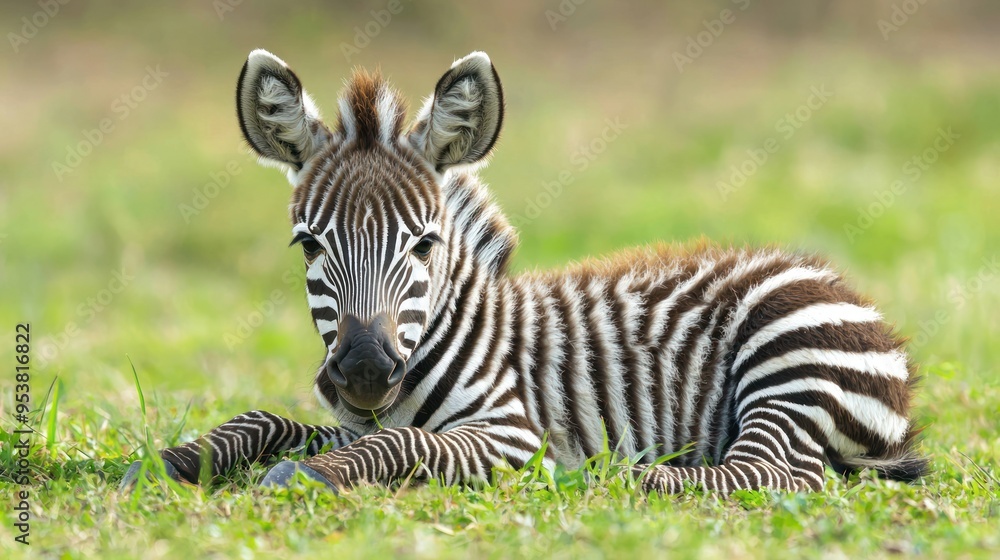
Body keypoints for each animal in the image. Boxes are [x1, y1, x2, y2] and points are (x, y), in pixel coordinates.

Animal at [122, 49, 926, 494]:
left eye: (424, 245)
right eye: (308, 245)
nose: (363, 373)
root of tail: (837, 282)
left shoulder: (514, 433)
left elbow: (403, 444)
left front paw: (307, 477)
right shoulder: (345, 419)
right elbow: (265, 420)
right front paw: (172, 459)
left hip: (786, 369)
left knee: (776, 471)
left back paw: (643, 475)